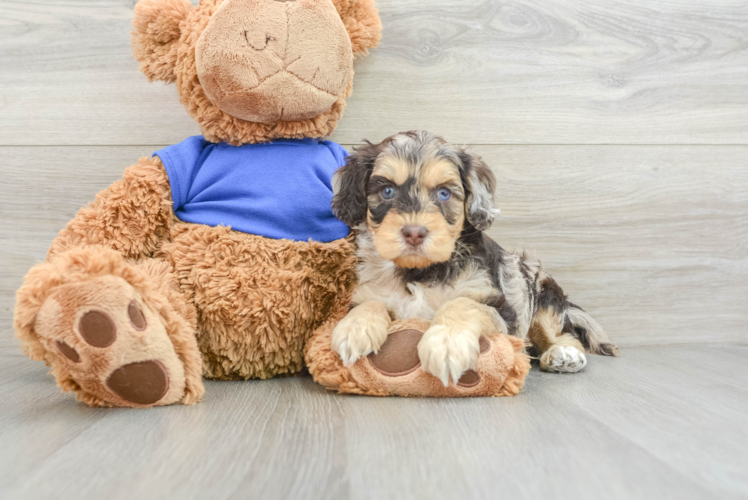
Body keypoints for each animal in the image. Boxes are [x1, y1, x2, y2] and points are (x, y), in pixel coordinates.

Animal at [330, 131, 616, 384]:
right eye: (387, 191)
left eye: (444, 193)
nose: (414, 233)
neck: (419, 271)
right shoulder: (369, 292)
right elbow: (370, 303)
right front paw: (354, 329)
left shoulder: (503, 310)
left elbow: (462, 304)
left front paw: (447, 344)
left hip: (540, 288)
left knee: (558, 332)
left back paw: (563, 354)